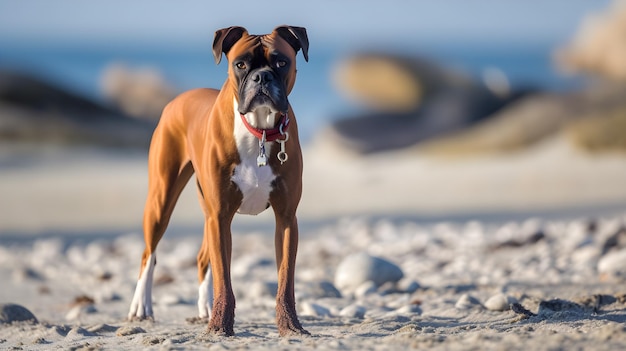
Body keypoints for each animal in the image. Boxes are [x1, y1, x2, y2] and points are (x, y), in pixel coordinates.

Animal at [127, 25, 310, 338]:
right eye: (241, 64)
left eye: (281, 62)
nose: (262, 76)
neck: (259, 129)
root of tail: (178, 98)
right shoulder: (221, 216)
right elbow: (223, 277)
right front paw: (221, 326)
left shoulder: (286, 218)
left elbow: (285, 279)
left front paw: (290, 325)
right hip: (161, 201)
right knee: (148, 254)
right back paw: (141, 307)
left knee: (202, 257)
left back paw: (204, 309)